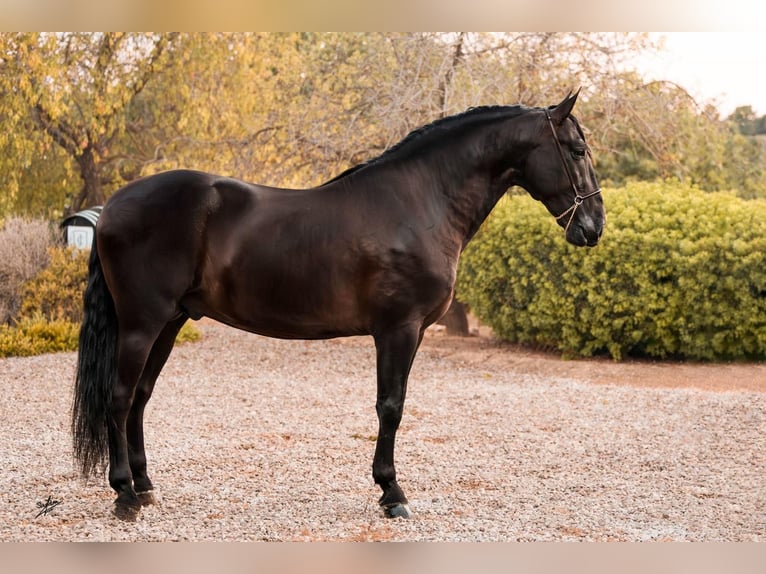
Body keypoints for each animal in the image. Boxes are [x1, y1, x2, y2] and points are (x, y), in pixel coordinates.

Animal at [72, 91, 608, 520]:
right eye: (578, 150)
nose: (594, 226)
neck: (421, 202)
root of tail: (111, 207)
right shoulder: (398, 329)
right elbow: (390, 406)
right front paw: (392, 493)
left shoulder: (409, 332)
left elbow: (393, 404)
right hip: (141, 323)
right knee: (120, 396)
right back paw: (124, 495)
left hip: (171, 321)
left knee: (140, 397)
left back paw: (145, 487)